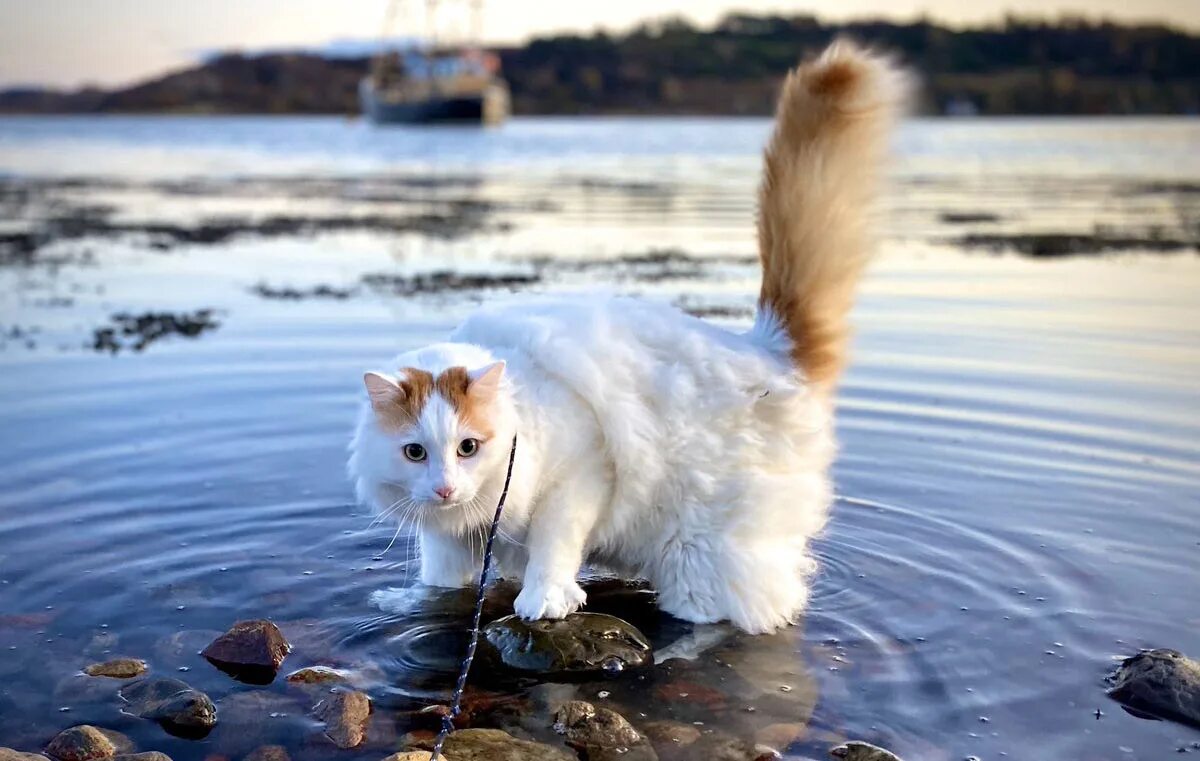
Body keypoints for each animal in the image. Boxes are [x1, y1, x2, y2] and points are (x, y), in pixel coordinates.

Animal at [348, 42, 907, 633]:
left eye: (468, 447)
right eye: (414, 452)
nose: (445, 487)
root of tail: (769, 347)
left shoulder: (579, 478)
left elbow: (553, 547)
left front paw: (544, 599)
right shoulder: (450, 539)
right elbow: (442, 580)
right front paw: (415, 602)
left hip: (701, 560)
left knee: (719, 618)